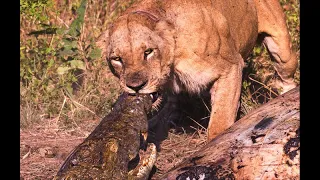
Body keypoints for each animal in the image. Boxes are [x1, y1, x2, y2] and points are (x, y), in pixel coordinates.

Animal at [97, 0, 298, 141]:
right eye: (117, 59)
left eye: (148, 52)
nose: (136, 86)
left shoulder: (230, 67)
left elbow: (220, 119)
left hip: (282, 51)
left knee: (286, 76)